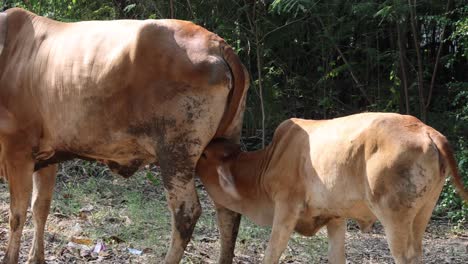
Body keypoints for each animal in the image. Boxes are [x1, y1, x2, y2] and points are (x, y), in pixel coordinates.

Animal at [0, 7, 249, 264]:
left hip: (176, 153)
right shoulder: (47, 154)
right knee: (227, 210)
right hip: (217, 149)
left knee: (186, 212)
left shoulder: (17, 150)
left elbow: (16, 215)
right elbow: (40, 207)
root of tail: (218, 44)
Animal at [197, 113, 468, 264]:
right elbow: (336, 257)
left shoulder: (285, 208)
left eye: (206, 155)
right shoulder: (336, 217)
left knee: (406, 256)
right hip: (423, 212)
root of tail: (426, 130)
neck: (269, 161)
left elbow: (271, 254)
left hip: (394, 216)